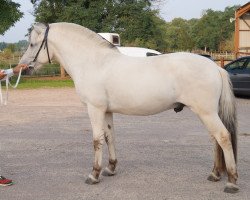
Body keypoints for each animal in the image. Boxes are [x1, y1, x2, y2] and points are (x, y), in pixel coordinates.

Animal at [19, 22, 238, 193]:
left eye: (32, 44)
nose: (23, 67)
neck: (93, 62)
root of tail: (215, 67)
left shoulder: (94, 109)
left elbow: (97, 141)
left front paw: (94, 174)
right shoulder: (106, 111)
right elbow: (110, 137)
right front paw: (111, 168)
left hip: (206, 113)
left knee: (223, 138)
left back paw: (231, 182)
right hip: (208, 113)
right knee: (215, 140)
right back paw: (215, 174)